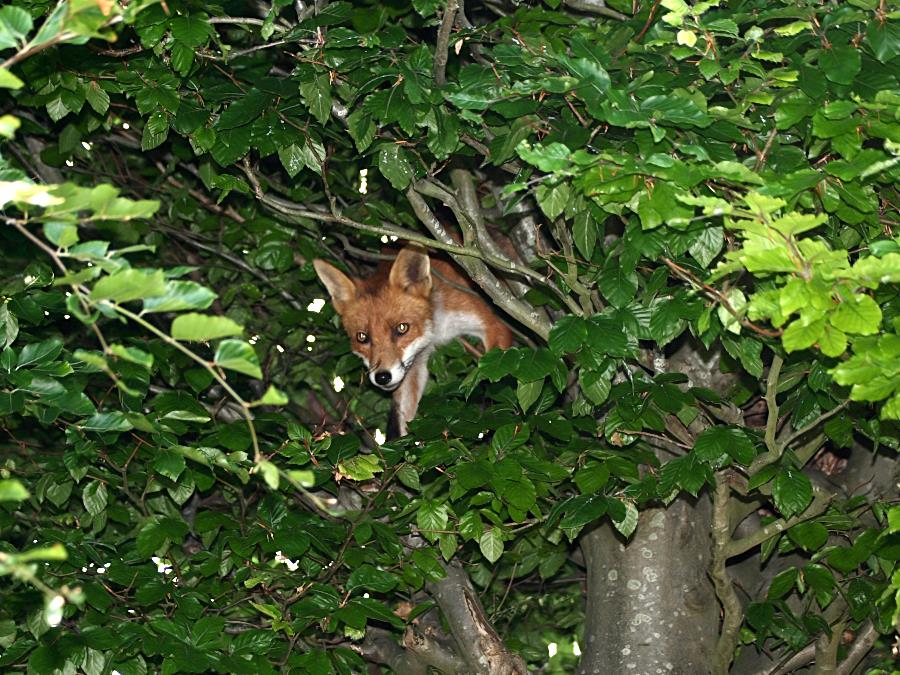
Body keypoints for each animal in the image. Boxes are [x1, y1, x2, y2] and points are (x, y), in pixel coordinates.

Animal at [313, 247, 513, 439]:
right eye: (362, 337)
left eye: (402, 328)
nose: (382, 377)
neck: (436, 328)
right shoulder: (415, 364)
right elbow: (404, 421)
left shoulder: (493, 325)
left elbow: (491, 379)